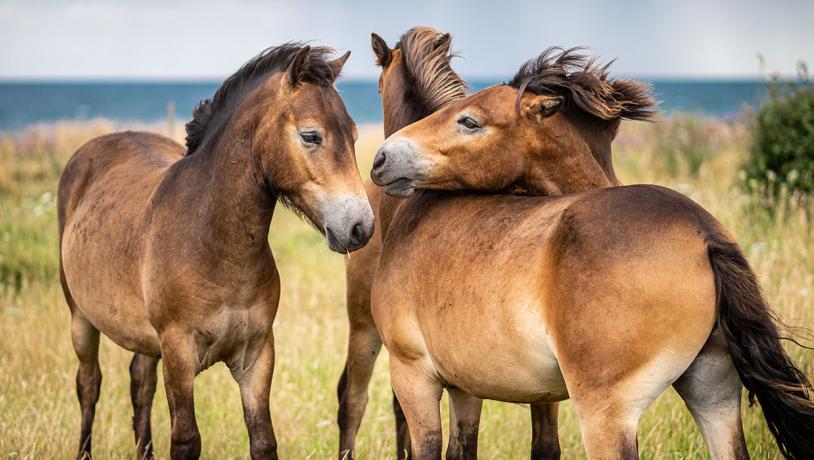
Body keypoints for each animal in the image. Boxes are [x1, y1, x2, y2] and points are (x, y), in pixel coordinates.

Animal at [57, 44, 372, 460]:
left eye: (353, 135)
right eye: (311, 136)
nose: (361, 227)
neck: (214, 244)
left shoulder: (257, 355)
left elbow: (263, 440)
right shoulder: (178, 353)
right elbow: (186, 439)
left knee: (140, 385)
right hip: (80, 317)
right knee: (89, 384)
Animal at [372, 47, 814, 460]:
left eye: (469, 121)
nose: (381, 158)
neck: (417, 212)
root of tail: (704, 235)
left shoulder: (413, 375)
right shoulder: (469, 388)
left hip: (606, 414)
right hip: (714, 394)